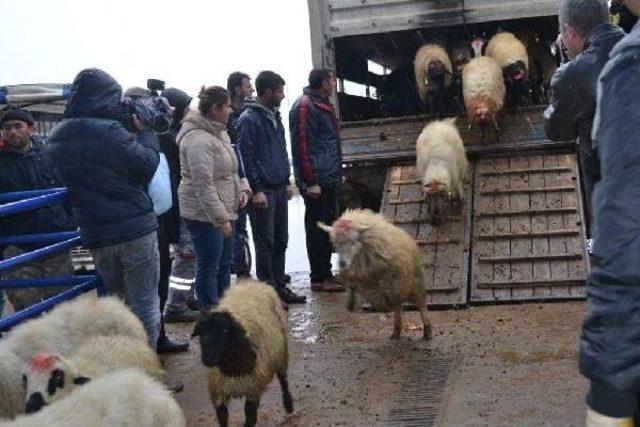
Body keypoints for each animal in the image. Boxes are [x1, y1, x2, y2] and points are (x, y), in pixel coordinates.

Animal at [189, 280, 292, 427]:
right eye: (202, 333)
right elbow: (222, 415)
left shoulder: (252, 387)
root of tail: (253, 282)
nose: (208, 359)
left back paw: (288, 404)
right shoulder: (219, 389)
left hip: (280, 352)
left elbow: (249, 415)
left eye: (225, 330)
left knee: (283, 378)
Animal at [318, 209, 432, 342]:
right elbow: (352, 285)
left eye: (353, 241)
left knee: (421, 305)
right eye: (335, 243)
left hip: (414, 283)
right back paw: (396, 330)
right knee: (397, 307)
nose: (342, 263)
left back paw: (427, 331)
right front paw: (350, 302)